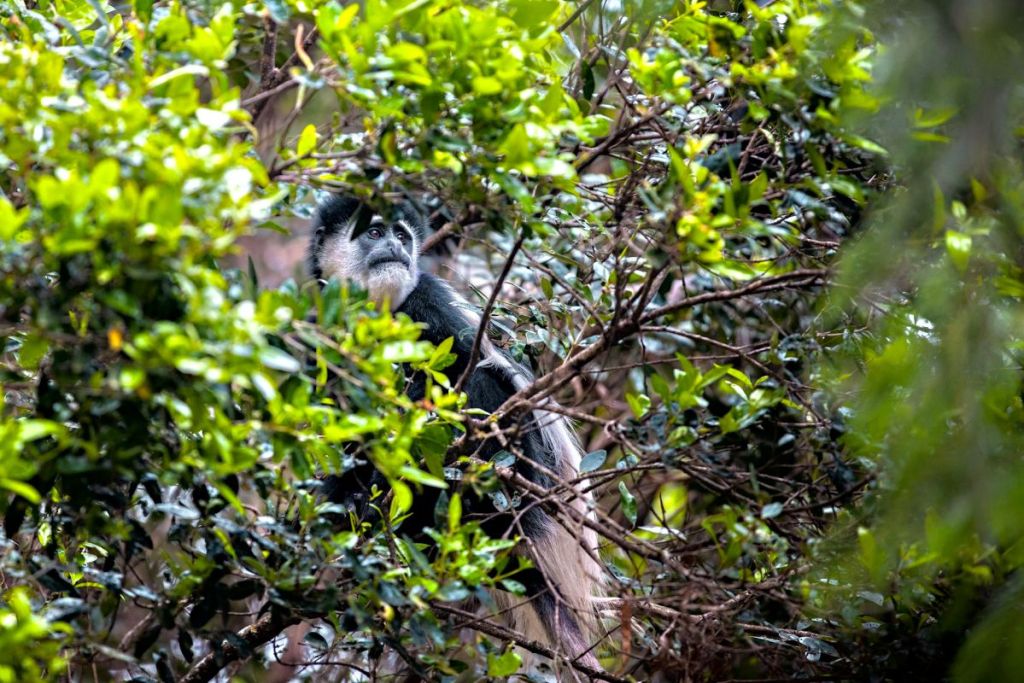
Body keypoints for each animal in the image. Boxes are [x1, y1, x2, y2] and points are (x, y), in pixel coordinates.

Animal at [307, 194, 603, 673]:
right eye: (374, 232)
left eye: (401, 234)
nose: (396, 246)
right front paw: (346, 498)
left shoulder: (424, 299)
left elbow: (468, 361)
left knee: (478, 381)